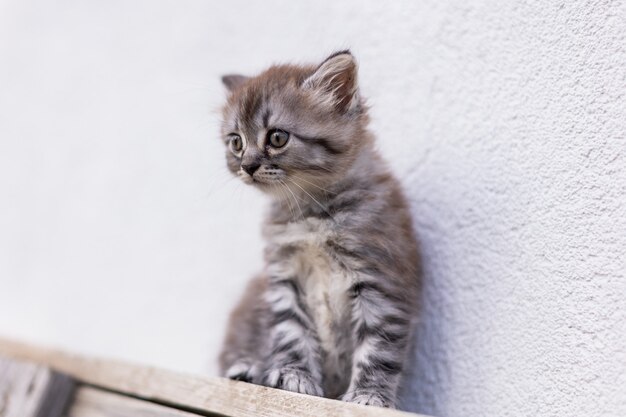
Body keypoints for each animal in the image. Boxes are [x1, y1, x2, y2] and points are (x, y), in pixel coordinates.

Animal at [216, 49, 420, 406]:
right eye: (236, 143)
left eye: (277, 137)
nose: (247, 166)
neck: (310, 214)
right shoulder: (284, 277)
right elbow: (291, 332)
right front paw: (292, 376)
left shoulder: (382, 282)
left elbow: (378, 348)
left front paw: (369, 396)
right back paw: (248, 369)